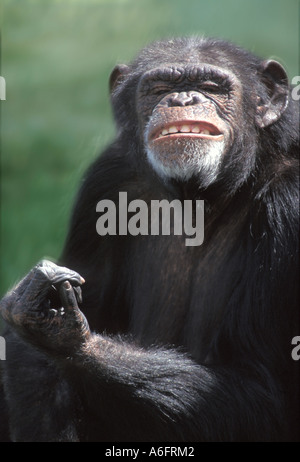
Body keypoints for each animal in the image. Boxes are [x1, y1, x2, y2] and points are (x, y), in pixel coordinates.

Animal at [0, 35, 300, 440]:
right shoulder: (105, 182)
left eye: (212, 87)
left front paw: (60, 331)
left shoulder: (291, 203)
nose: (183, 99)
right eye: (159, 88)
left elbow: (259, 386)